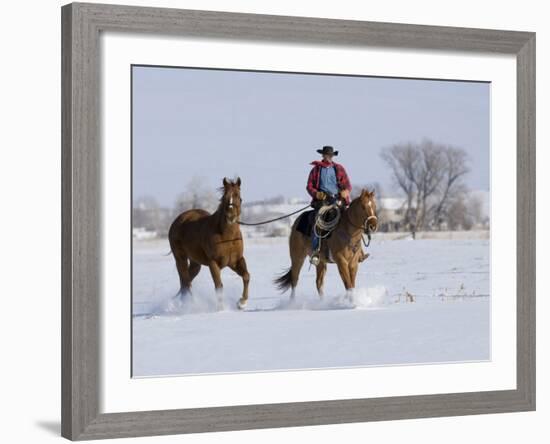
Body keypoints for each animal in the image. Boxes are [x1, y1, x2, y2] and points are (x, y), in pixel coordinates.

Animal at [169, 176, 251, 308]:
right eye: (224, 197)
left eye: (239, 197)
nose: (230, 216)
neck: (227, 237)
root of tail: (179, 220)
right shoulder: (213, 263)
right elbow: (219, 286)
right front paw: (221, 309)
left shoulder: (236, 261)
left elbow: (246, 276)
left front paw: (242, 302)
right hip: (180, 259)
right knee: (186, 282)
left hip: (195, 263)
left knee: (185, 282)